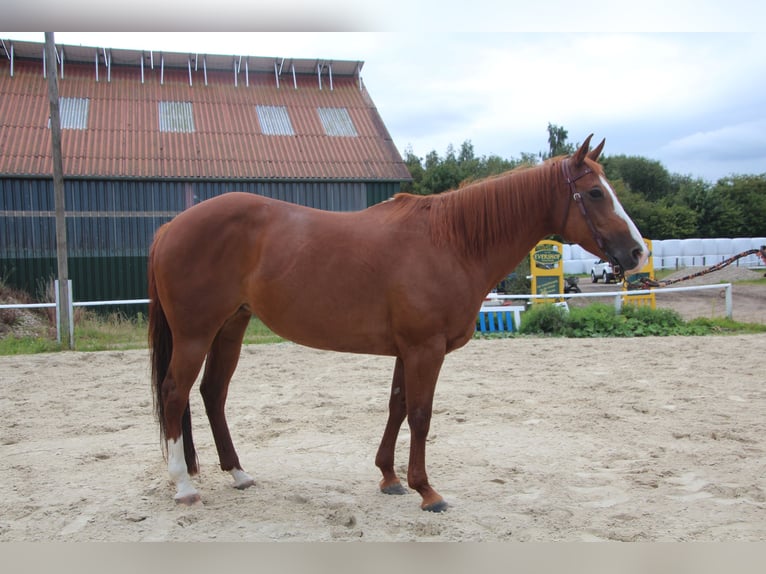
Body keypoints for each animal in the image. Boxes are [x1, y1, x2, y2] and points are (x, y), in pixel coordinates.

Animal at [148, 134, 648, 511]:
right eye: (596, 192)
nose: (638, 252)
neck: (451, 242)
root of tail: (171, 227)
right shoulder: (425, 349)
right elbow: (421, 415)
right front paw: (427, 490)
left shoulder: (406, 350)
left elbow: (397, 406)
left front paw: (389, 478)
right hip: (195, 334)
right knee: (175, 393)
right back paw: (185, 486)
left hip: (229, 328)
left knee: (213, 393)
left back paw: (238, 473)